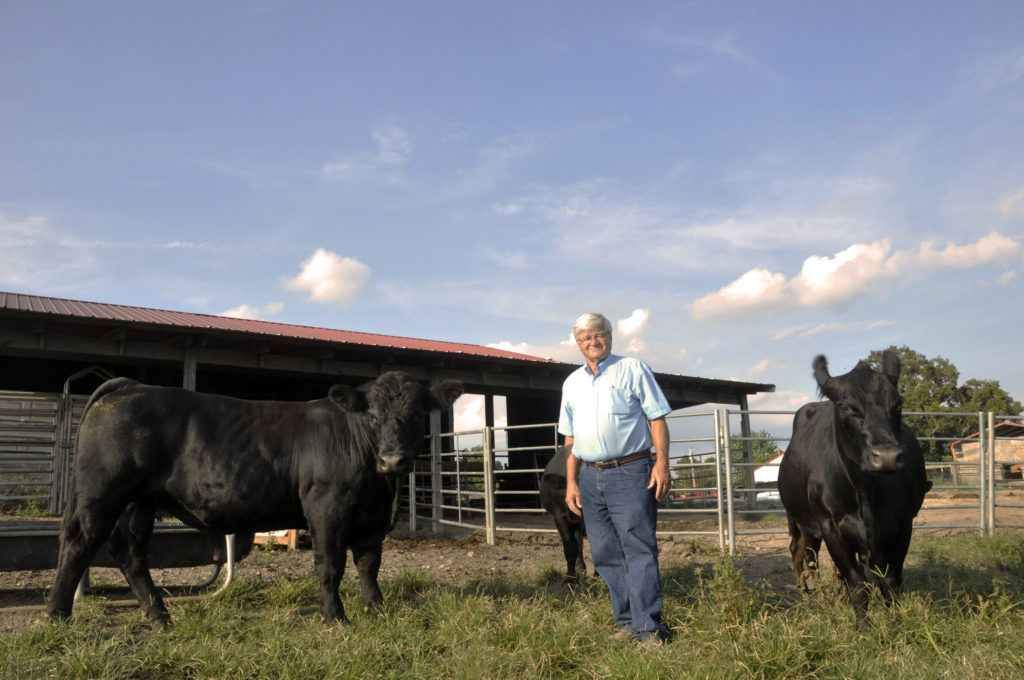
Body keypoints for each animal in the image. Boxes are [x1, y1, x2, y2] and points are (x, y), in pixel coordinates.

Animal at [48, 372, 462, 626]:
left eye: (417, 414)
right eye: (373, 416)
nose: (393, 459)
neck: (381, 486)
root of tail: (131, 386)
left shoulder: (371, 518)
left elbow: (369, 565)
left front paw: (377, 611)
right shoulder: (326, 507)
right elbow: (331, 566)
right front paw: (335, 617)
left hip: (140, 501)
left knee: (129, 551)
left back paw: (160, 617)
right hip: (102, 491)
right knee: (77, 544)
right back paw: (57, 616)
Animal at [778, 350, 933, 626]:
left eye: (897, 404)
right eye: (847, 406)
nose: (887, 457)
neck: (865, 491)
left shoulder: (903, 523)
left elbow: (890, 580)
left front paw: (895, 621)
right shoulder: (830, 526)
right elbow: (857, 583)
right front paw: (864, 627)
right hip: (802, 519)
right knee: (803, 554)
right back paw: (812, 599)